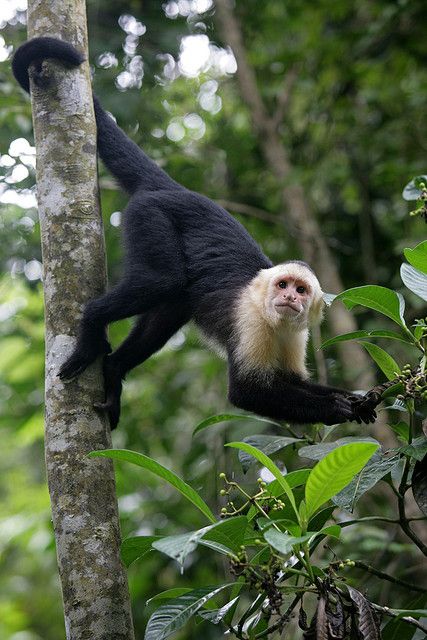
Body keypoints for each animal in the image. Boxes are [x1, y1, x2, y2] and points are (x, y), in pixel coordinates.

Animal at [11, 38, 376, 430]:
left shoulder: (297, 334)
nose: (290, 297)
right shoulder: (250, 322)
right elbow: (246, 392)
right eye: (282, 285)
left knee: (170, 305)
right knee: (163, 280)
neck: (273, 320)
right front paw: (336, 409)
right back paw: (94, 324)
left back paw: (114, 370)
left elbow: (292, 380)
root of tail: (176, 189)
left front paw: (354, 400)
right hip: (150, 215)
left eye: (301, 290)